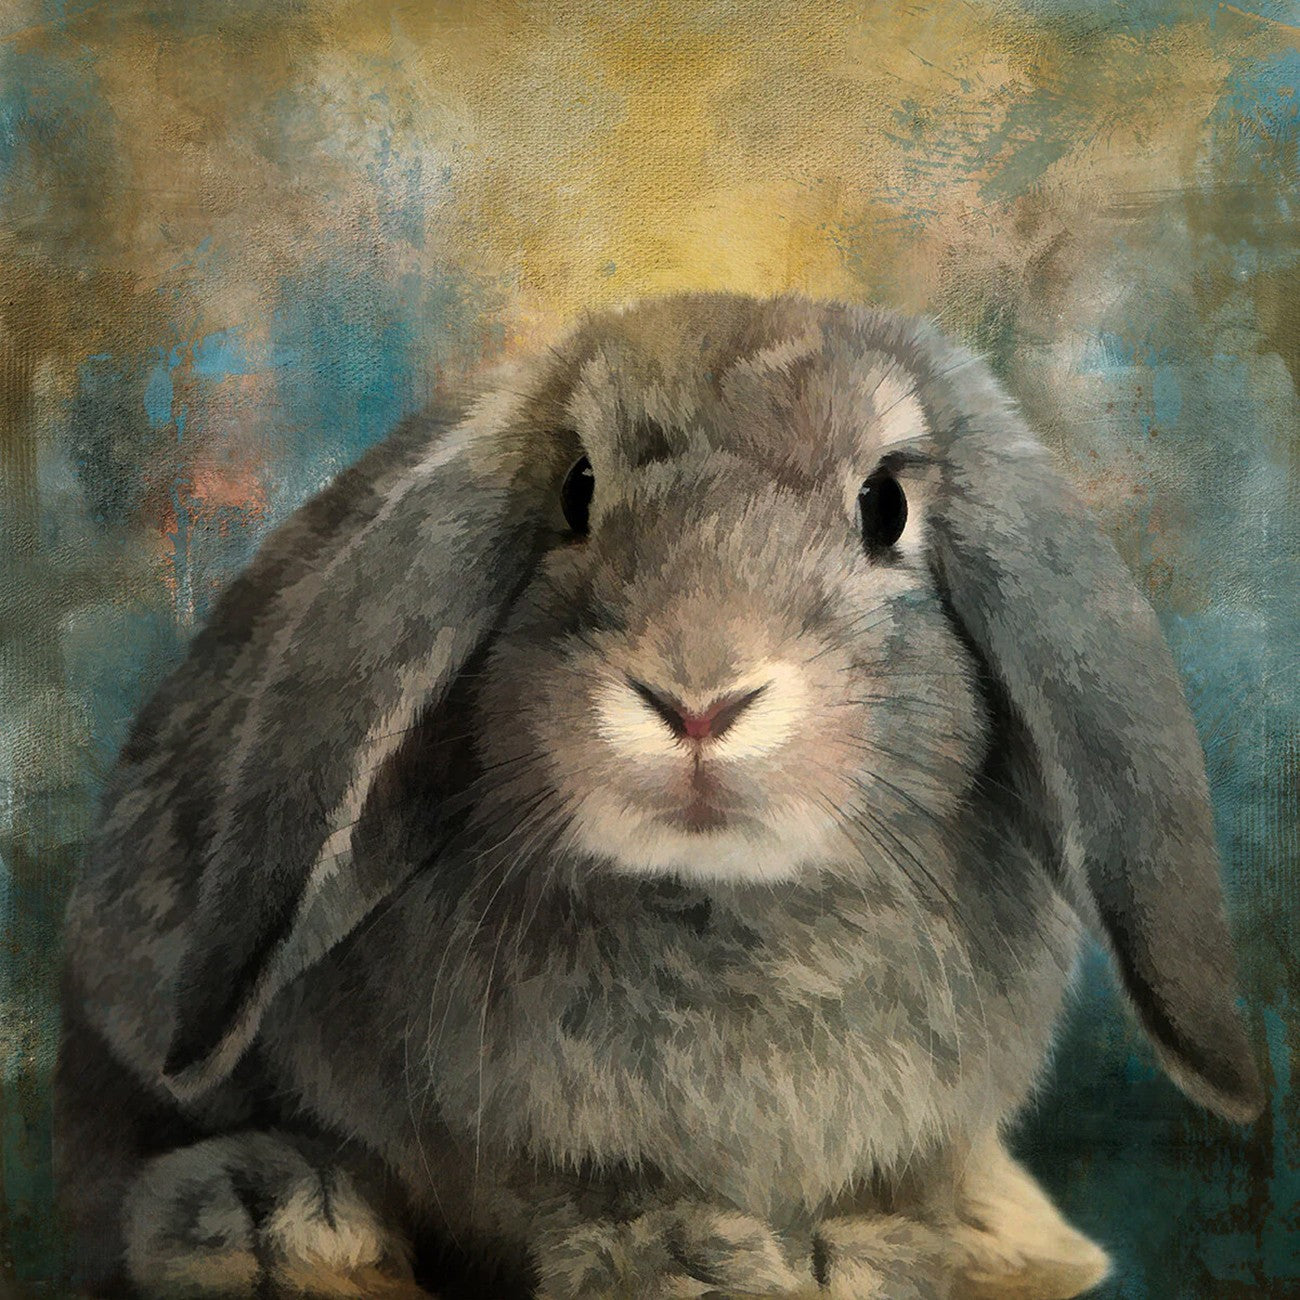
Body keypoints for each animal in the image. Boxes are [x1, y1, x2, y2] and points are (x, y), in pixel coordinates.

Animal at [55, 292, 1264, 1300]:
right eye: (577, 493)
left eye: (884, 506)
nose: (697, 696)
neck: (729, 903)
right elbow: (563, 1197)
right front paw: (692, 1262)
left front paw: (896, 1251)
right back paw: (273, 1221)